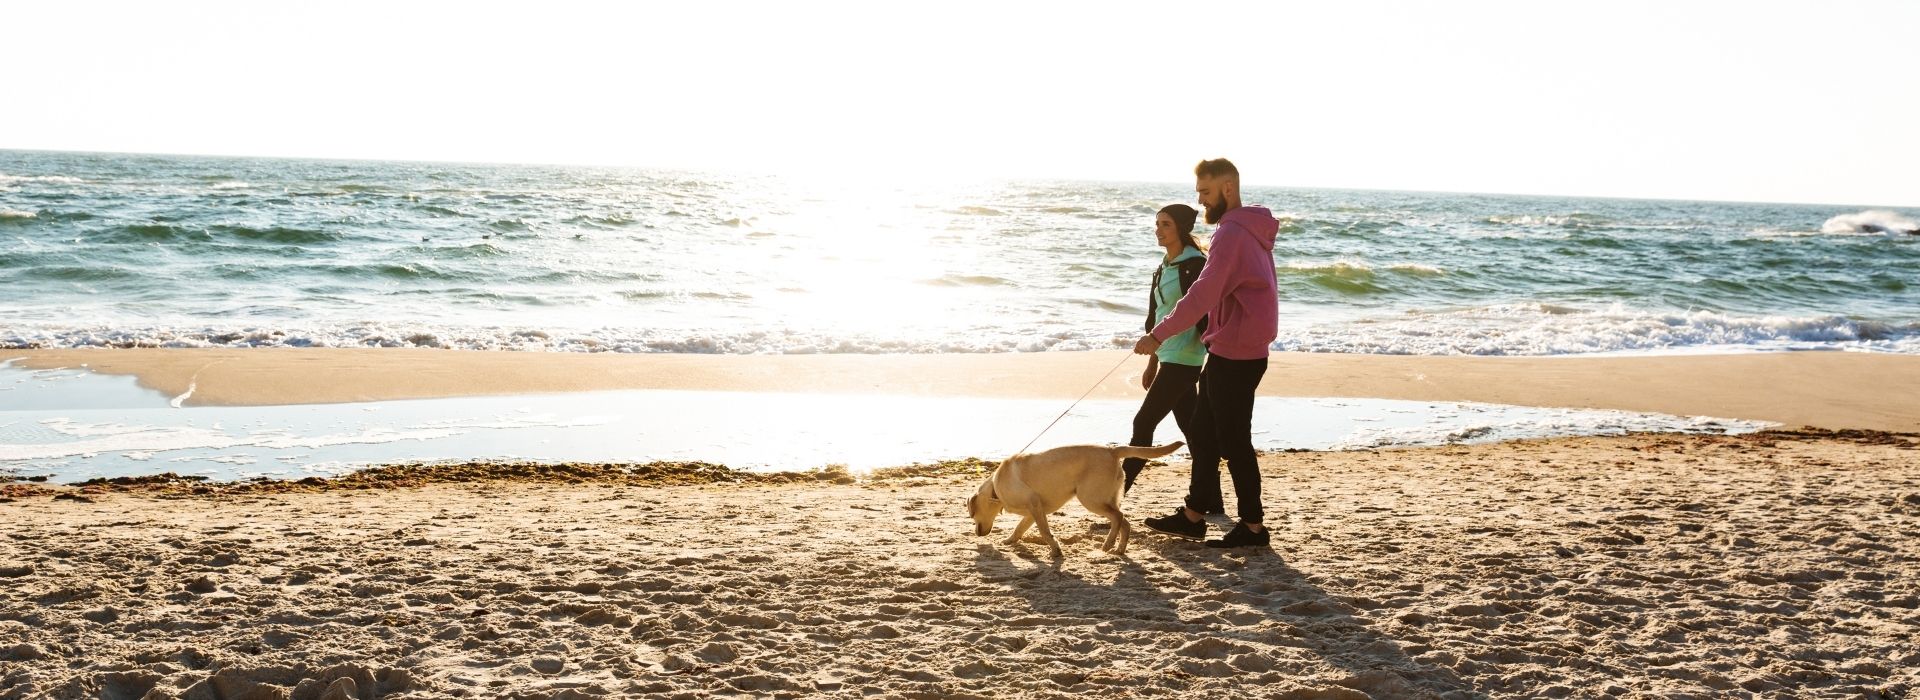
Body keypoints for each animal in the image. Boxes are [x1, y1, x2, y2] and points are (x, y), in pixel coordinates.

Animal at [967, 441, 1175, 556]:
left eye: (972, 514)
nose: (976, 533)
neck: (996, 489)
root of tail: (1112, 450)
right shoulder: (1034, 510)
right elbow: (1020, 528)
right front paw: (1010, 540)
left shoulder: (1034, 504)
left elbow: (1044, 532)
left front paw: (1055, 551)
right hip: (1107, 499)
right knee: (1125, 521)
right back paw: (1119, 549)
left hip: (1090, 499)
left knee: (1118, 517)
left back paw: (1107, 544)